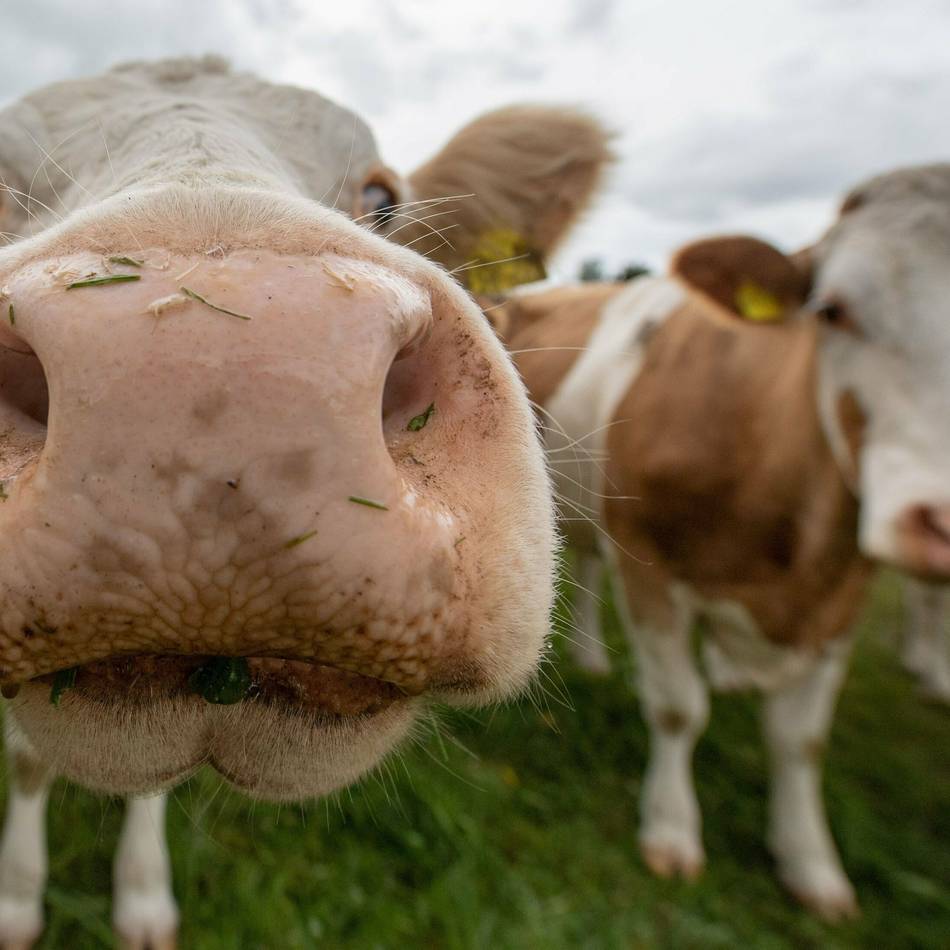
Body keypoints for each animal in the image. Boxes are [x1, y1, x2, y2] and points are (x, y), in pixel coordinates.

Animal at [490, 164, 950, 919]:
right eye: (831, 310)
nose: (939, 518)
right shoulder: (649, 564)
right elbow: (679, 708)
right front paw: (672, 832)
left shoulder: (843, 600)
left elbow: (800, 741)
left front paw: (810, 864)